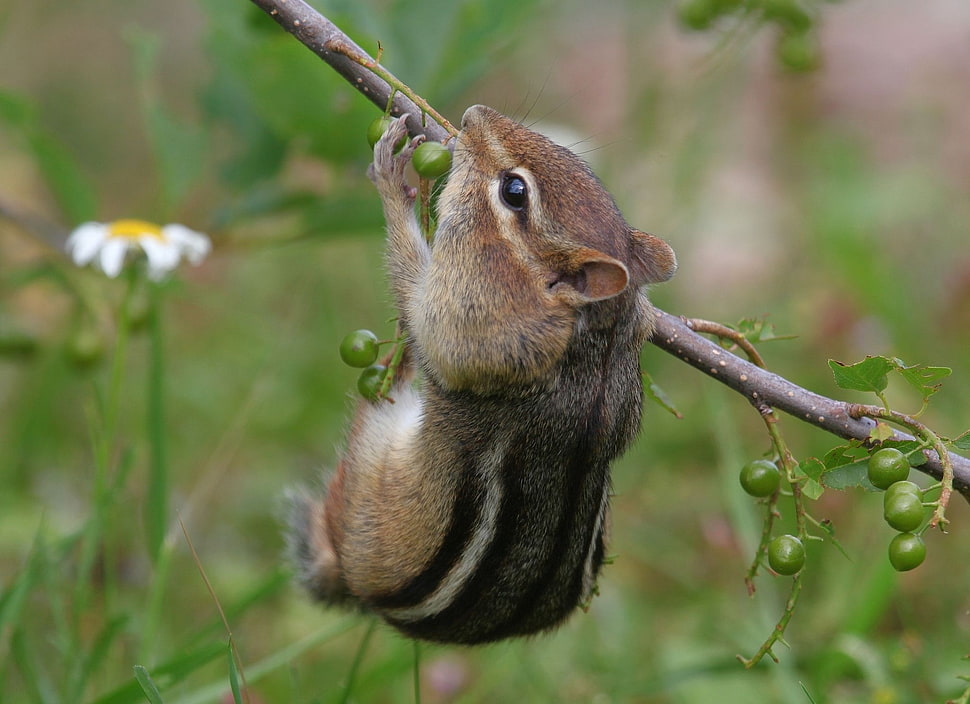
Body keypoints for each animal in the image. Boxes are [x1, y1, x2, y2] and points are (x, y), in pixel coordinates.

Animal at [292, 104, 676, 644]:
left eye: (514, 191)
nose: (475, 114)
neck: (594, 336)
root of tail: (355, 587)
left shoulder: (472, 321)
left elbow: (420, 306)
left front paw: (392, 181)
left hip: (370, 475)